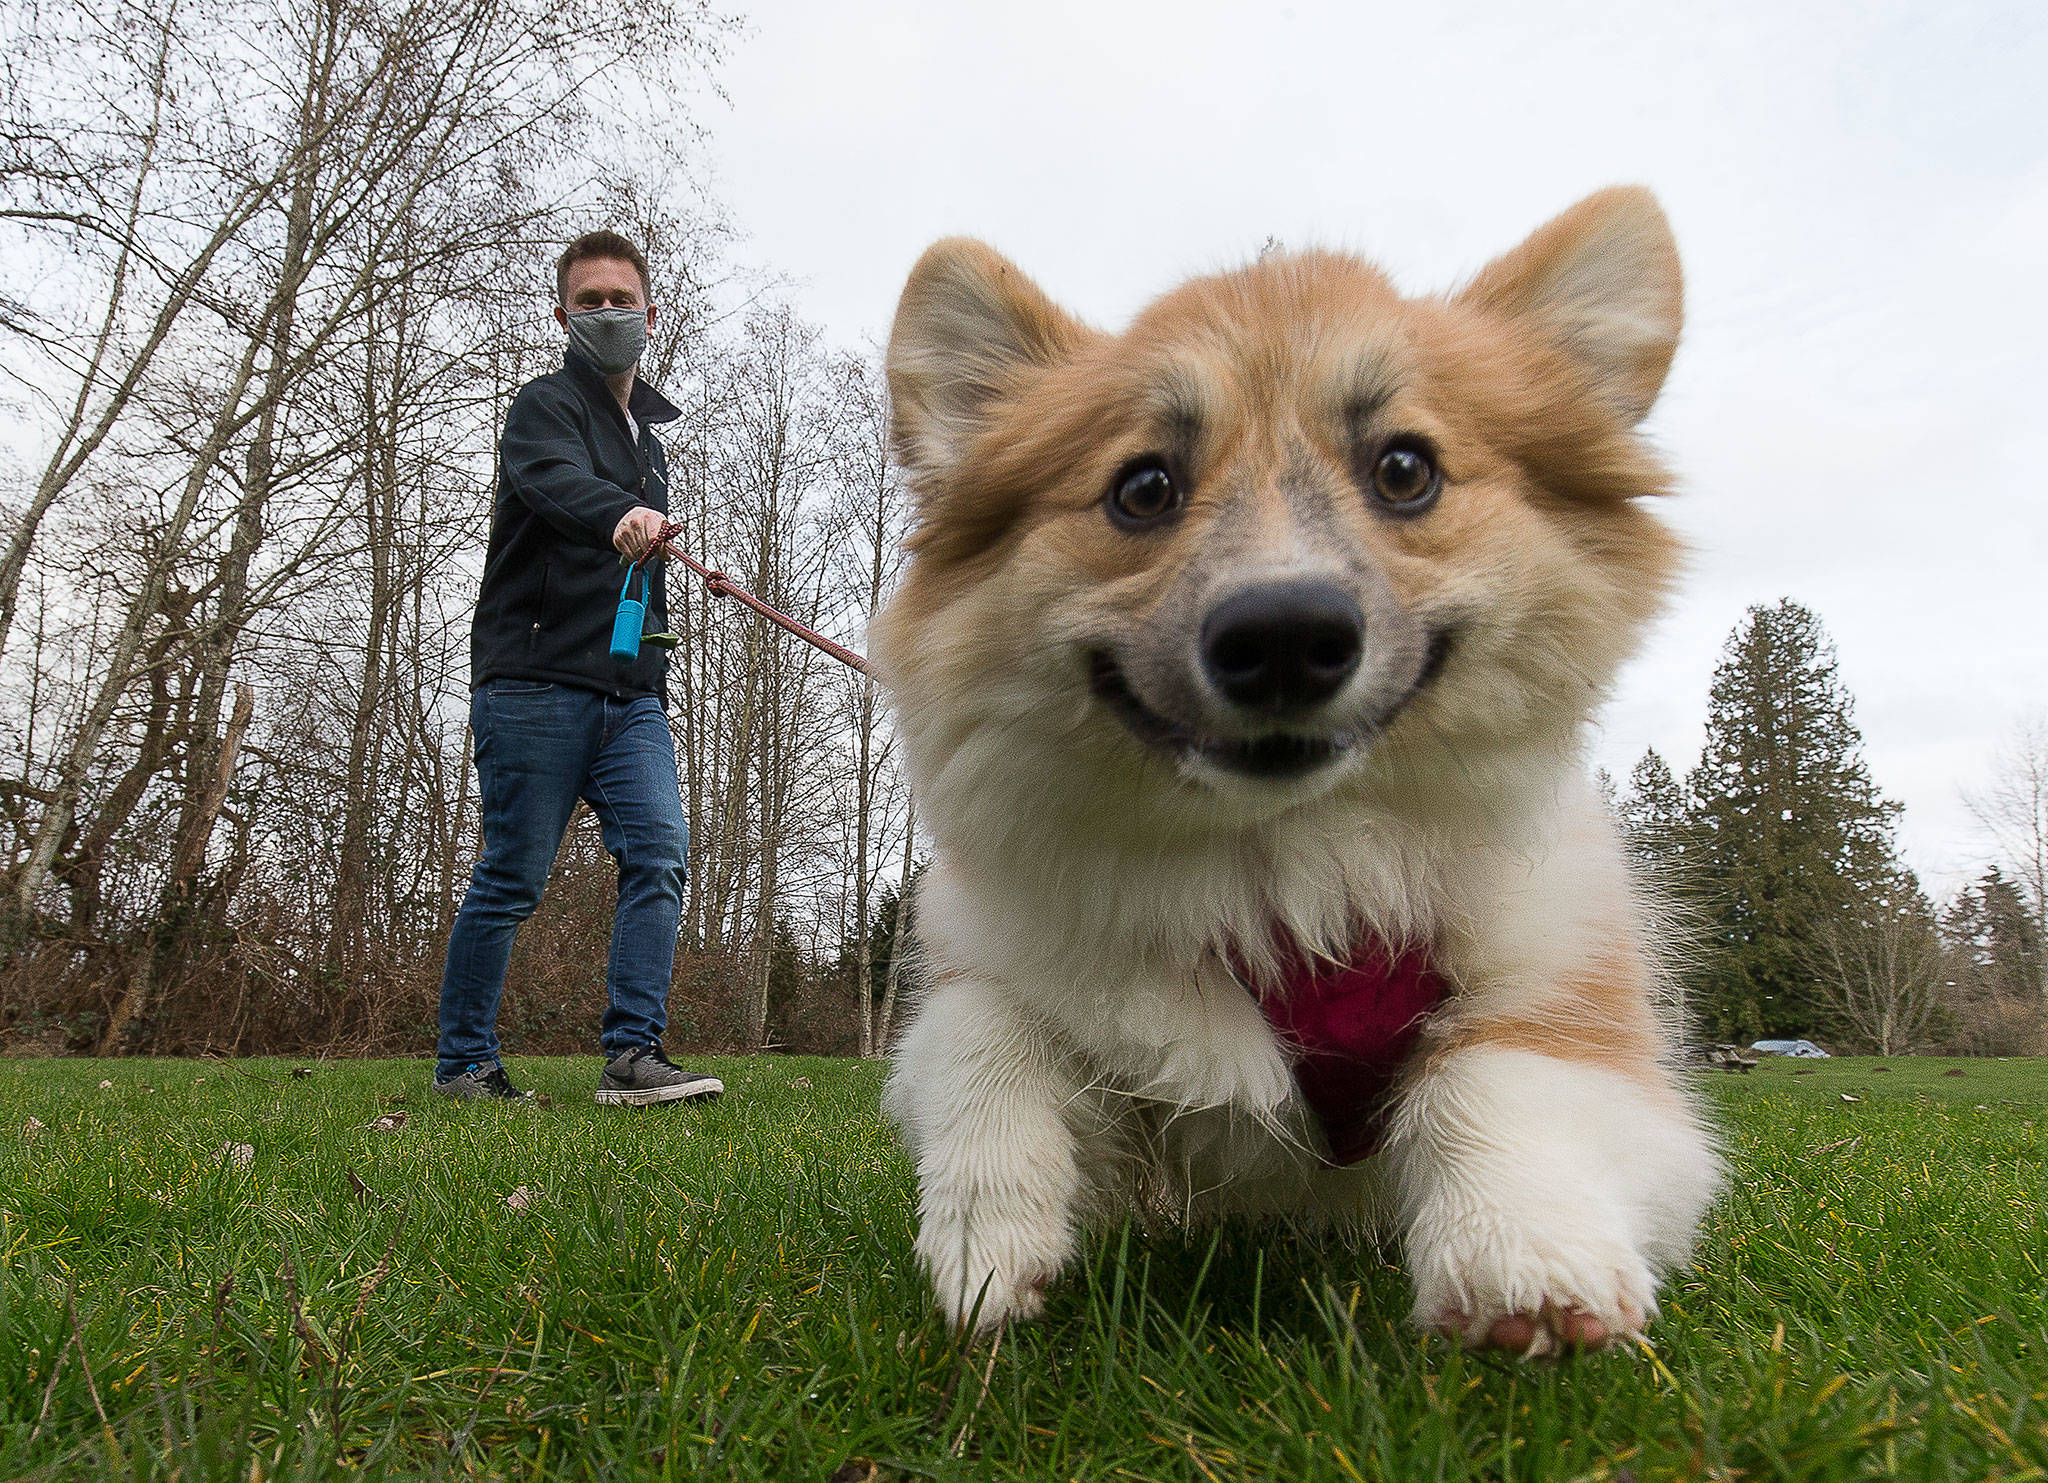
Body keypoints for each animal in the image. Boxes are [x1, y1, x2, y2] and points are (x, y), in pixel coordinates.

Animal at [872, 188, 1720, 1351]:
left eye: (1404, 469)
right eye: (1143, 487)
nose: (1283, 635)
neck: (1289, 864)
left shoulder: (1586, 1009)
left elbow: (1495, 1069)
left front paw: (1523, 1256)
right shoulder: (1002, 951)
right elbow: (981, 1034)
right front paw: (987, 1239)